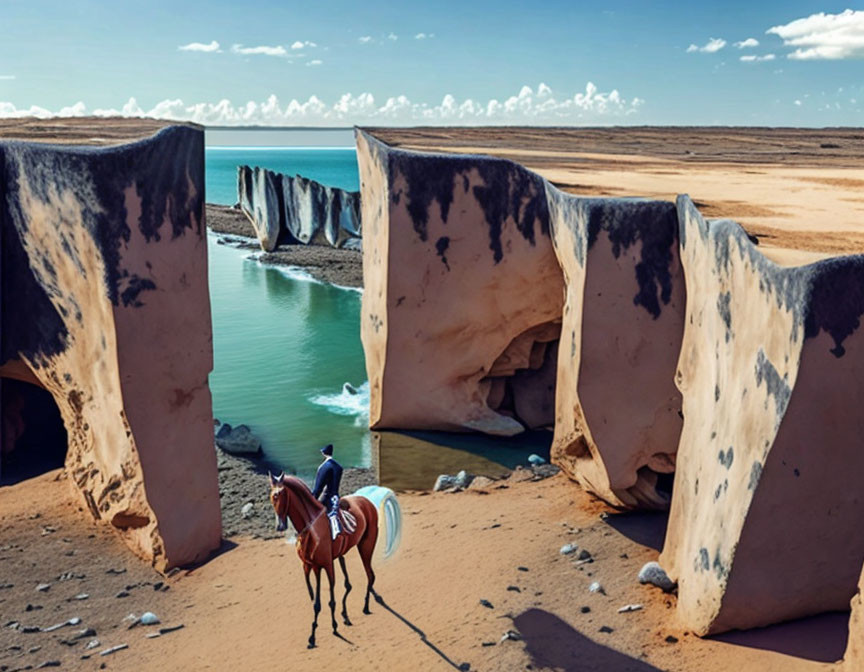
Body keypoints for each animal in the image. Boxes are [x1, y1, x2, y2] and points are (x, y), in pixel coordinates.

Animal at [268, 470, 380, 648]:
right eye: (271, 496)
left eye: (279, 494)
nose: (280, 526)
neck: (311, 528)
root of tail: (367, 502)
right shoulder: (313, 566)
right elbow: (317, 602)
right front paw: (314, 635)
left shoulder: (326, 565)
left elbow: (329, 601)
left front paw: (332, 627)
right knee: (351, 583)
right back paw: (347, 613)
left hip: (366, 546)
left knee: (370, 575)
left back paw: (365, 606)